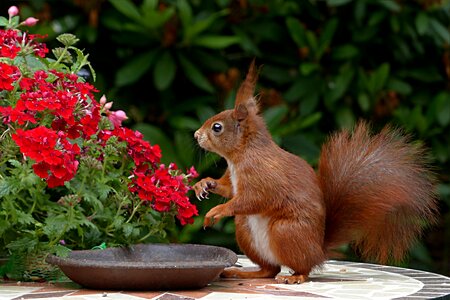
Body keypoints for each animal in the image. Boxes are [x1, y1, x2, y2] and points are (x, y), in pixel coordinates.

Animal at [192, 61, 436, 284]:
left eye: (217, 127)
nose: (195, 135)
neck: (240, 155)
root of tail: (319, 250)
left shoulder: (263, 175)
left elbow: (254, 199)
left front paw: (217, 211)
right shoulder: (234, 179)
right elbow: (228, 189)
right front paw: (204, 184)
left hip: (285, 231)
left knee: (302, 267)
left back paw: (295, 276)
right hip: (245, 230)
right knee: (270, 269)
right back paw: (244, 272)